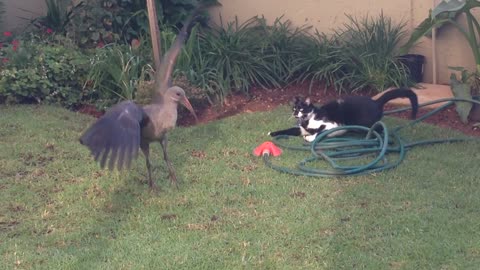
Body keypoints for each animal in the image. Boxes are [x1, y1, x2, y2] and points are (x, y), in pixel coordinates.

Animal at [268, 88, 418, 143]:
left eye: (301, 108)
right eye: (294, 108)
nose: (295, 113)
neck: (307, 121)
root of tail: (376, 101)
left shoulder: (331, 124)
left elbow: (319, 132)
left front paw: (310, 138)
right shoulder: (300, 129)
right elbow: (287, 130)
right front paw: (272, 133)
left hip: (364, 122)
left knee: (380, 128)